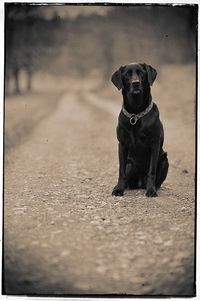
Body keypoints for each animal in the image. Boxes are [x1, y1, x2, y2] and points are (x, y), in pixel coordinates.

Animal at [111, 62, 168, 196]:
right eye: (127, 74)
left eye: (141, 73)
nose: (135, 83)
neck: (135, 114)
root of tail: (140, 183)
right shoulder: (122, 144)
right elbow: (121, 170)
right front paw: (119, 189)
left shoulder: (154, 143)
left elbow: (152, 170)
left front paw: (151, 190)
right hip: (130, 165)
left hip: (164, 160)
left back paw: (153, 187)